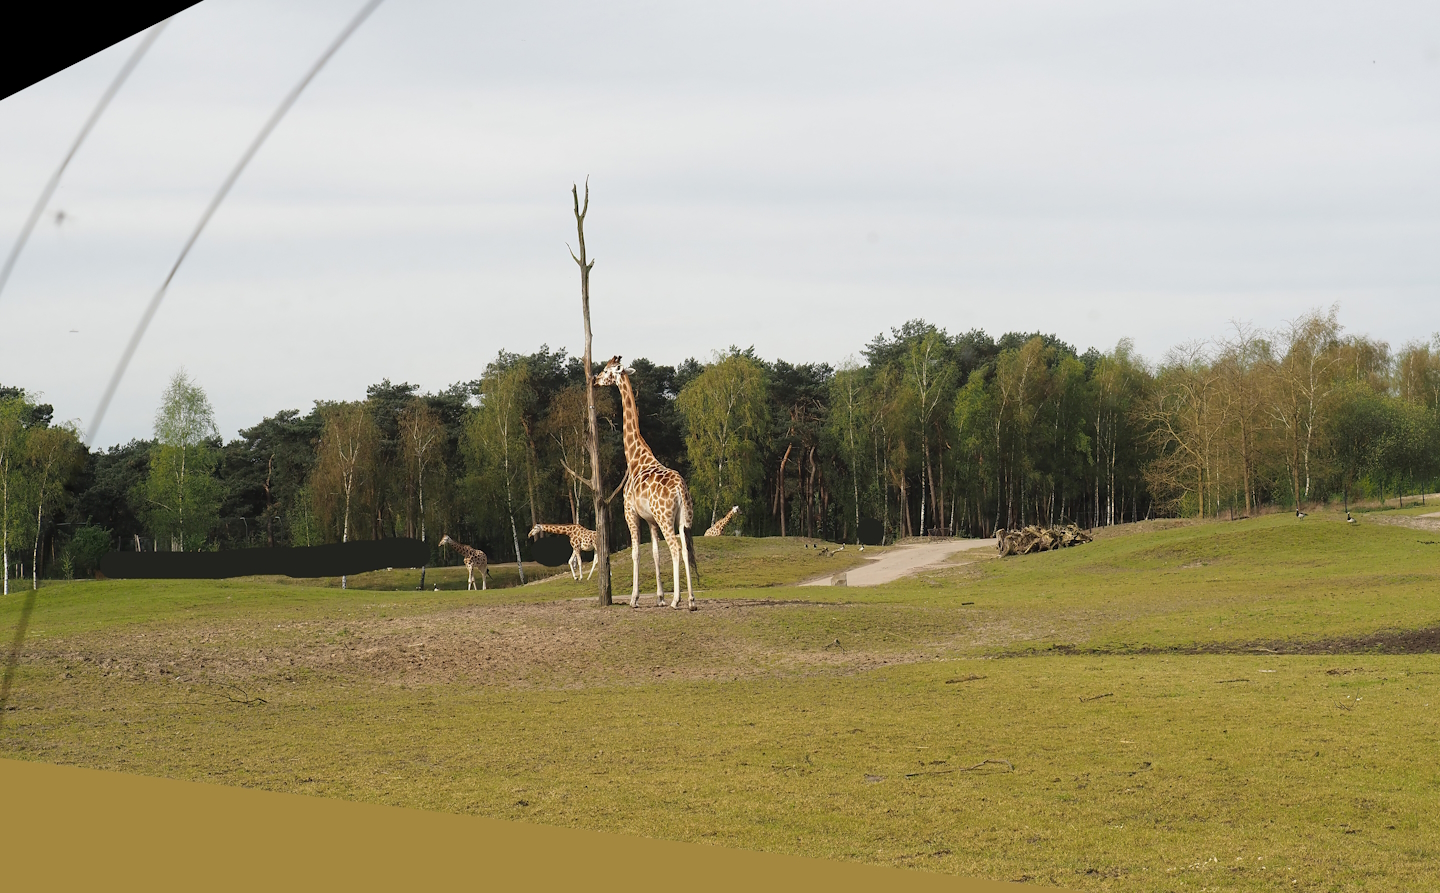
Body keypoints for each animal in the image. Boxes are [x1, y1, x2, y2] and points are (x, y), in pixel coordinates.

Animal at [592, 356, 699, 610]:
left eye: (607, 371)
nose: (594, 380)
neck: (634, 458)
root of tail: (680, 489)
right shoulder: (650, 519)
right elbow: (655, 553)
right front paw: (659, 597)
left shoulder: (630, 512)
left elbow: (636, 553)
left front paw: (635, 598)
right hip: (684, 518)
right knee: (685, 549)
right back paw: (691, 600)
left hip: (665, 517)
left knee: (676, 548)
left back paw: (677, 600)